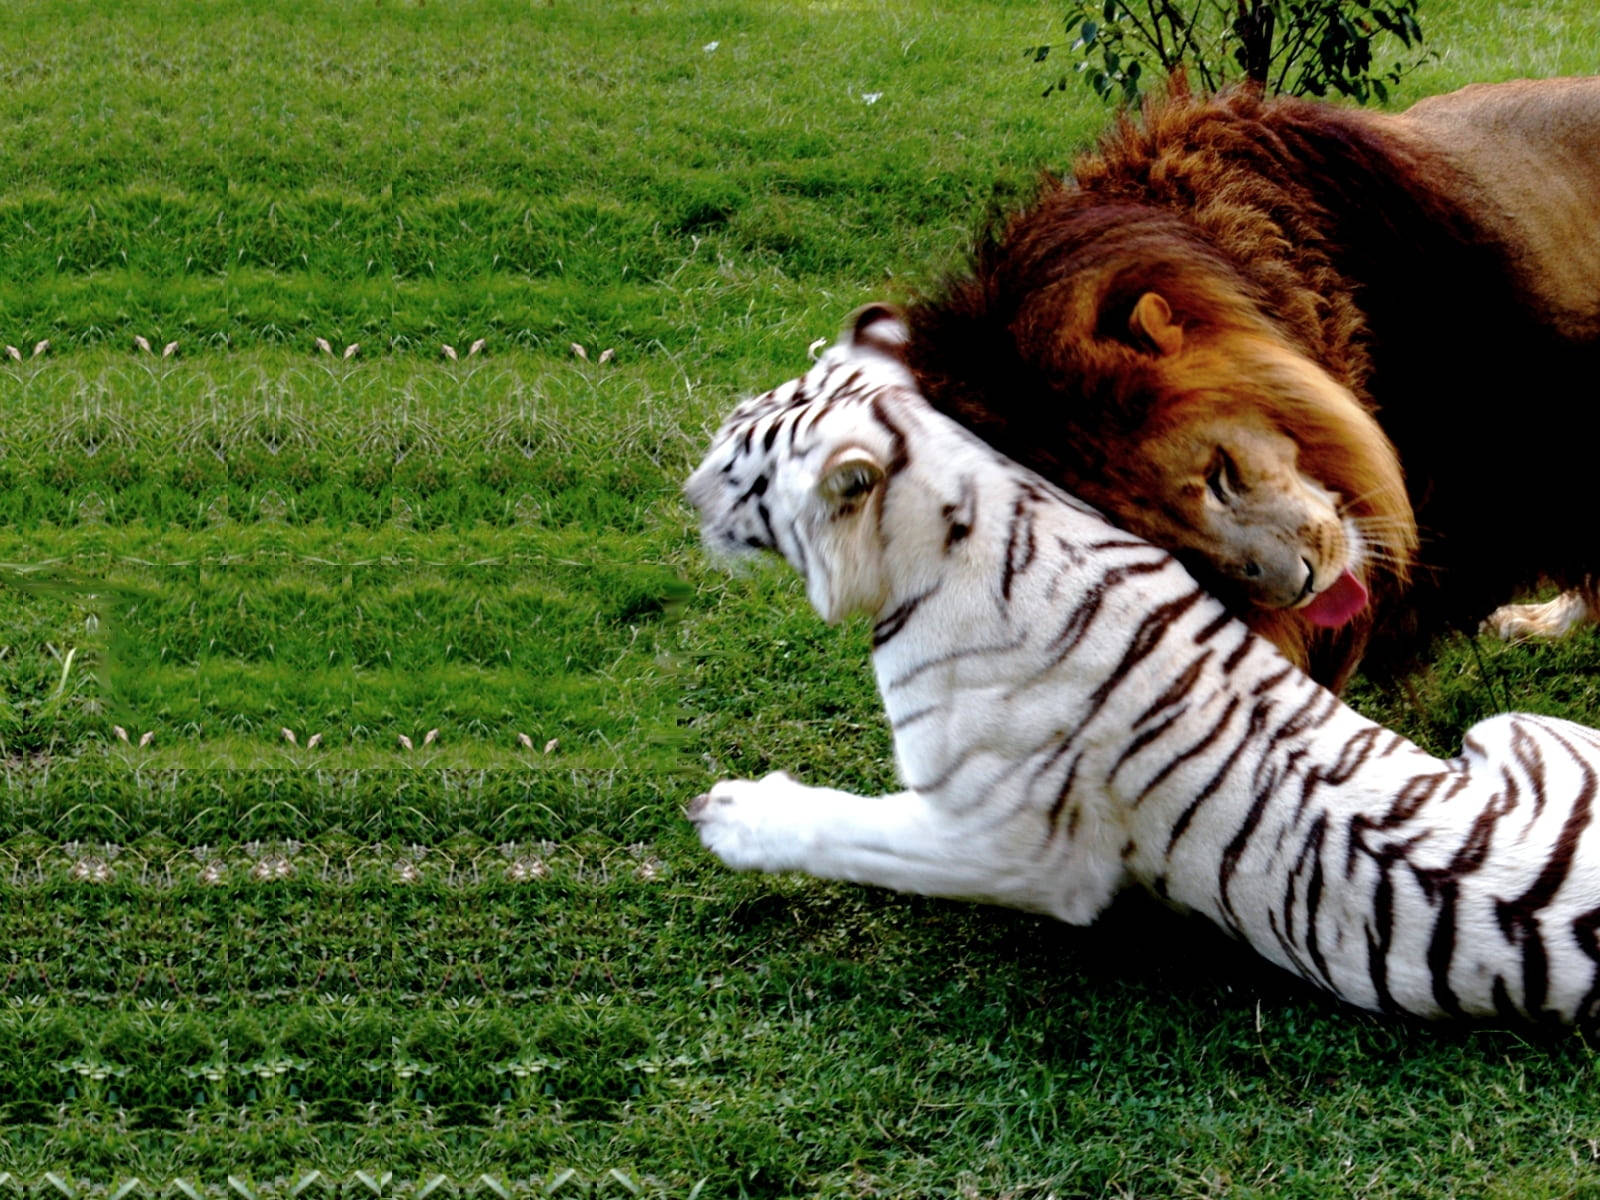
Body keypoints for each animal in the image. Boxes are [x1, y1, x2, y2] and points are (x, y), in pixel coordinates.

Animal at [681, 307, 1600, 1024]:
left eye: (735, 465)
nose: (685, 498)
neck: (974, 498)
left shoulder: (1005, 841)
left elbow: (854, 831)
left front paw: (729, 814)